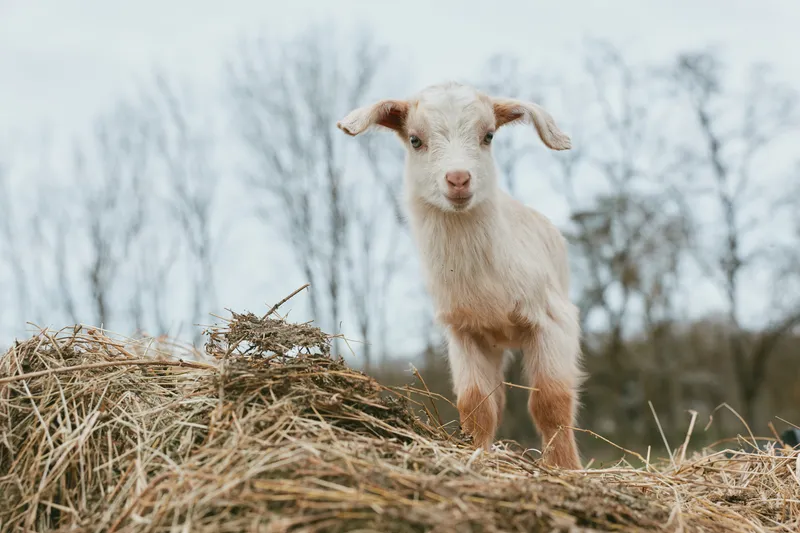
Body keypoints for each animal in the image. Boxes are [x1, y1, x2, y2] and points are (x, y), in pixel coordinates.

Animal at [336, 81, 582, 469]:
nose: (458, 179)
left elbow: (551, 403)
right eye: (415, 140)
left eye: (488, 136)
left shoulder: (553, 320)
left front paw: (564, 469)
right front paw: (476, 454)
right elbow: (477, 406)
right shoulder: (464, 331)